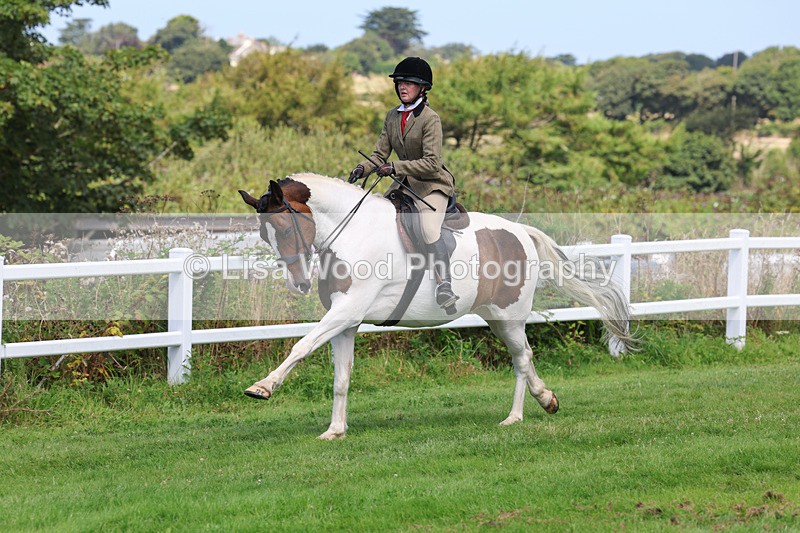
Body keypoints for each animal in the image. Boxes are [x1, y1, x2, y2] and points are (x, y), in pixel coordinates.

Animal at [238, 173, 634, 440]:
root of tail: (521, 232)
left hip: (510, 316)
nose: (299, 284)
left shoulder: (347, 310)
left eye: (283, 228)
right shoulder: (346, 320)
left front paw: (263, 387)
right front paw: (335, 430)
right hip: (496, 319)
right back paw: (547, 399)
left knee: (522, 359)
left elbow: (302, 345)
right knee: (525, 356)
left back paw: (515, 417)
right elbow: (342, 377)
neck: (352, 232)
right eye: (264, 235)